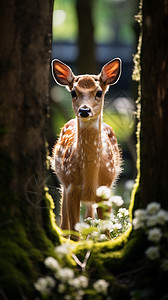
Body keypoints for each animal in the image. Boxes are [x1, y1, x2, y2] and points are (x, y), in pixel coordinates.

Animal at [50, 58, 121, 232]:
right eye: (73, 92)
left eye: (99, 92)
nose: (84, 110)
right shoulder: (71, 188)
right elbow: (74, 232)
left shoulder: (105, 190)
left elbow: (105, 232)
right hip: (63, 184)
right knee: (64, 225)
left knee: (90, 218)